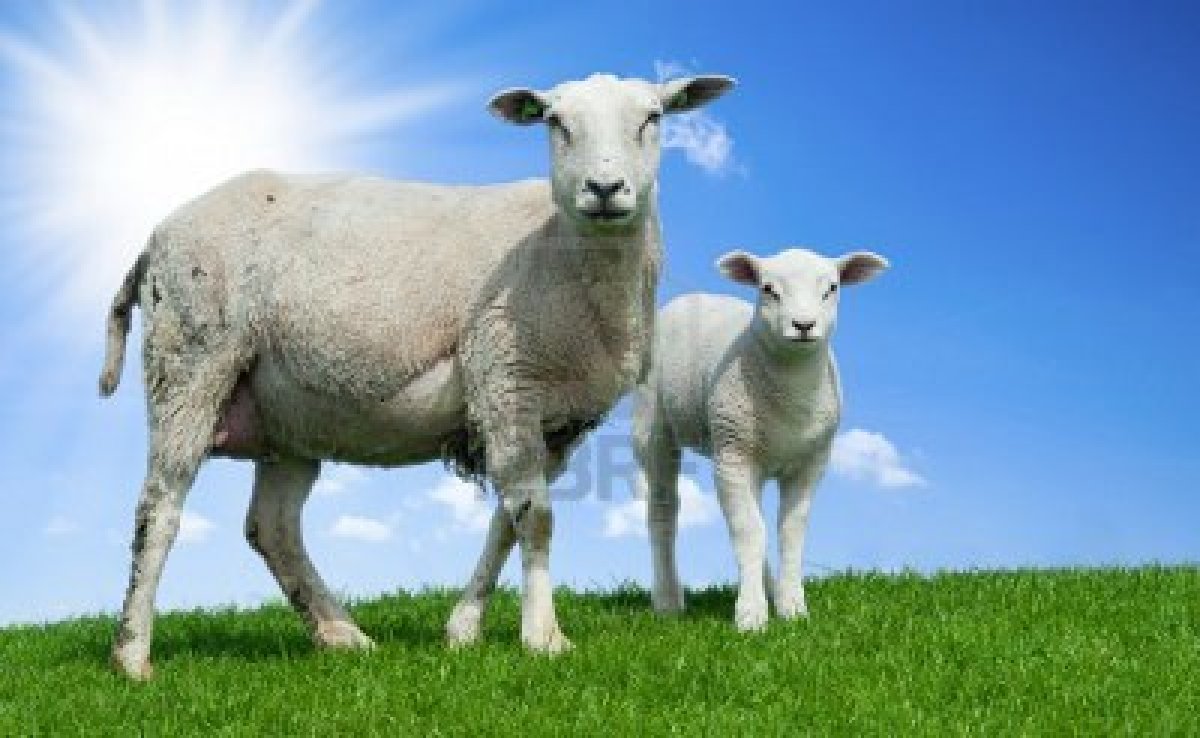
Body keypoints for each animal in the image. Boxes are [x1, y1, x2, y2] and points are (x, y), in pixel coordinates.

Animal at [99, 72, 735, 679]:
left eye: (652, 117)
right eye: (555, 122)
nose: (605, 190)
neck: (564, 252)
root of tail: (157, 236)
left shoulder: (557, 417)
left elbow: (509, 519)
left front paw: (464, 628)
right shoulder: (506, 378)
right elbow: (537, 520)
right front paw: (543, 637)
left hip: (288, 414)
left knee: (272, 527)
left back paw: (341, 635)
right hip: (191, 359)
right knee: (158, 508)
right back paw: (132, 656)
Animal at [632, 247, 887, 631]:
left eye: (832, 287)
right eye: (768, 288)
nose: (803, 325)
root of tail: (687, 298)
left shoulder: (811, 462)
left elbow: (787, 531)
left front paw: (791, 606)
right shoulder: (734, 456)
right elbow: (748, 531)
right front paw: (751, 614)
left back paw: (770, 587)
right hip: (656, 427)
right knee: (663, 510)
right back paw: (667, 601)